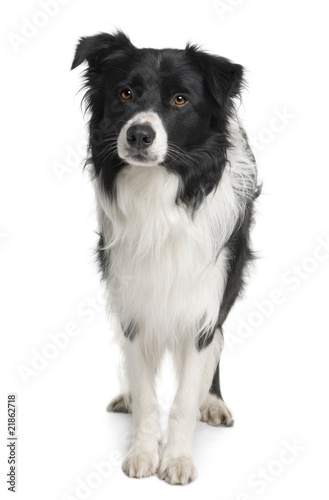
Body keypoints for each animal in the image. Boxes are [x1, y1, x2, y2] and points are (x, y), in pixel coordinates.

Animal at [71, 31, 258, 484]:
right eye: (125, 93)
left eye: (180, 99)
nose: (139, 134)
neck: (159, 192)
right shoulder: (134, 302)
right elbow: (144, 387)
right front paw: (143, 450)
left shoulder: (203, 304)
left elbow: (186, 396)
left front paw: (177, 460)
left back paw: (213, 401)